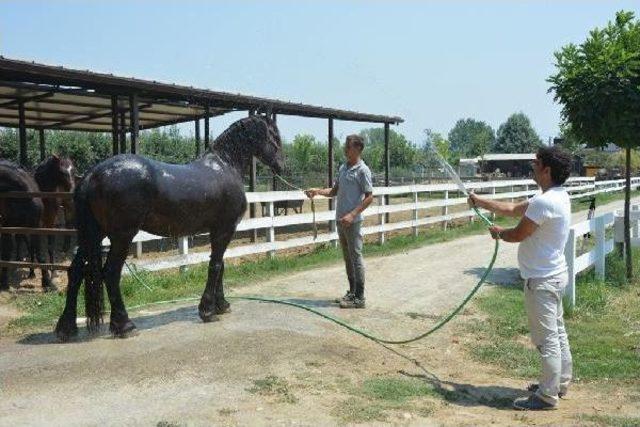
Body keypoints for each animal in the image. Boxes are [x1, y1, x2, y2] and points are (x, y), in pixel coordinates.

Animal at [55, 116, 284, 342]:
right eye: (274, 136)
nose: (281, 166)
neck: (226, 166)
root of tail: (92, 175)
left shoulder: (217, 230)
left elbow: (220, 266)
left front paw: (222, 305)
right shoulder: (225, 229)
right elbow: (216, 266)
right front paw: (208, 311)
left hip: (92, 235)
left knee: (75, 272)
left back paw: (66, 328)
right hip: (122, 236)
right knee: (110, 273)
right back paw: (125, 326)